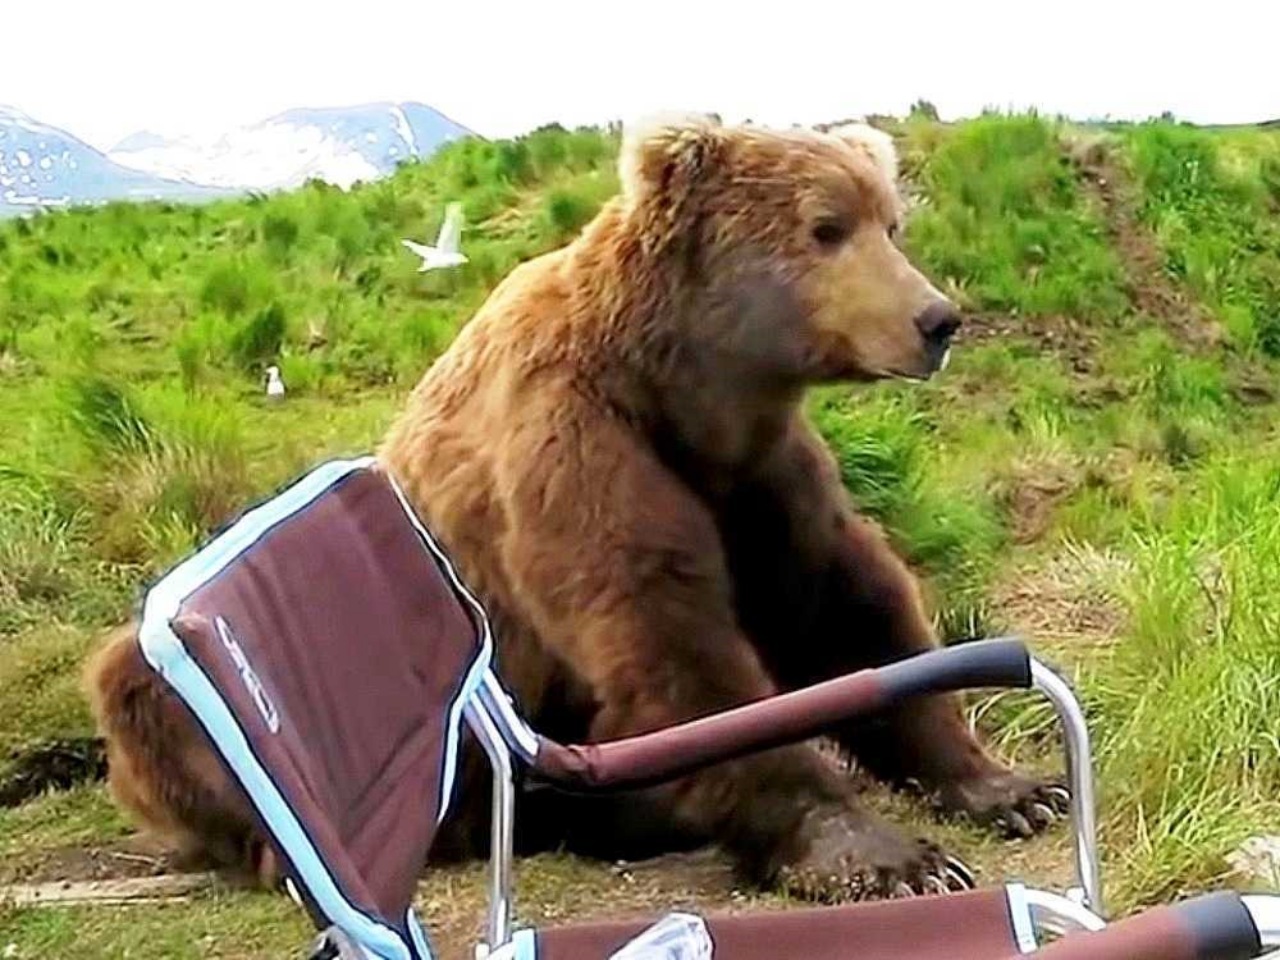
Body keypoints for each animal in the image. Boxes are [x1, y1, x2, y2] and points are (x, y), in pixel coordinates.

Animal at [85, 114, 1070, 911]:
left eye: (889, 222)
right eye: (825, 228)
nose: (936, 319)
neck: (679, 385)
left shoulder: (756, 472)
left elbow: (846, 606)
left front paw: (1011, 787)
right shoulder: (576, 442)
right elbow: (669, 638)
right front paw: (881, 853)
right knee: (142, 689)